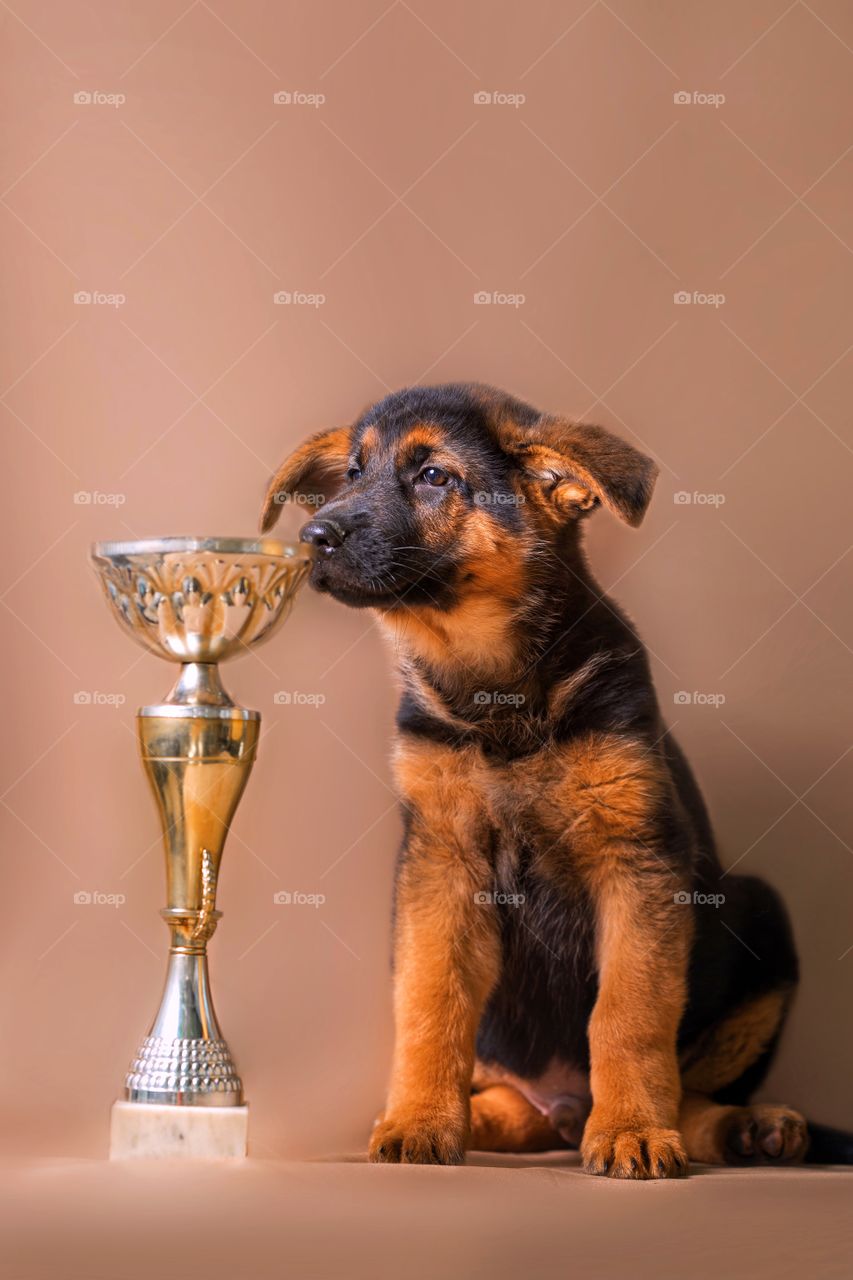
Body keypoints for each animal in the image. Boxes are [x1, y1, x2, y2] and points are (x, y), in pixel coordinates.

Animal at [258, 381, 835, 1177]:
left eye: (434, 476)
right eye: (351, 472)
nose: (313, 536)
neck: (494, 690)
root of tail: (564, 1105)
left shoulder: (638, 859)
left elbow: (628, 1014)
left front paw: (631, 1131)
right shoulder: (440, 864)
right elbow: (430, 1001)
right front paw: (419, 1119)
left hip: (759, 911)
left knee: (690, 1096)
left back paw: (744, 1128)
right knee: (514, 1104)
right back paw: (456, 1117)